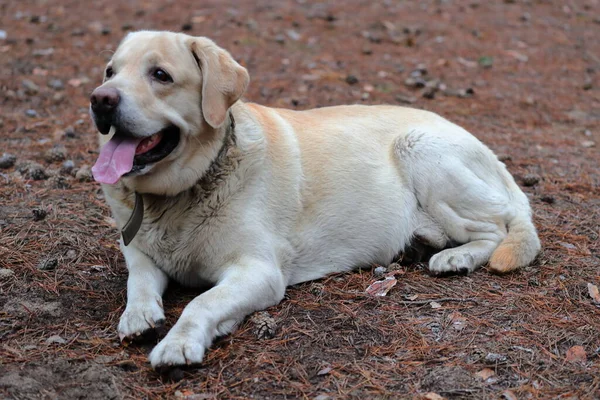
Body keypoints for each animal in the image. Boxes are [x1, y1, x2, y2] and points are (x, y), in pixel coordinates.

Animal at [90, 30, 544, 368]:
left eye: (161, 75)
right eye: (110, 71)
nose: (100, 98)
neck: (177, 194)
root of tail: (487, 149)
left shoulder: (259, 271)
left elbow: (201, 302)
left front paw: (177, 343)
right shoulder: (137, 249)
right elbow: (139, 279)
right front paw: (139, 315)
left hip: (420, 147)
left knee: (496, 229)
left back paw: (456, 257)